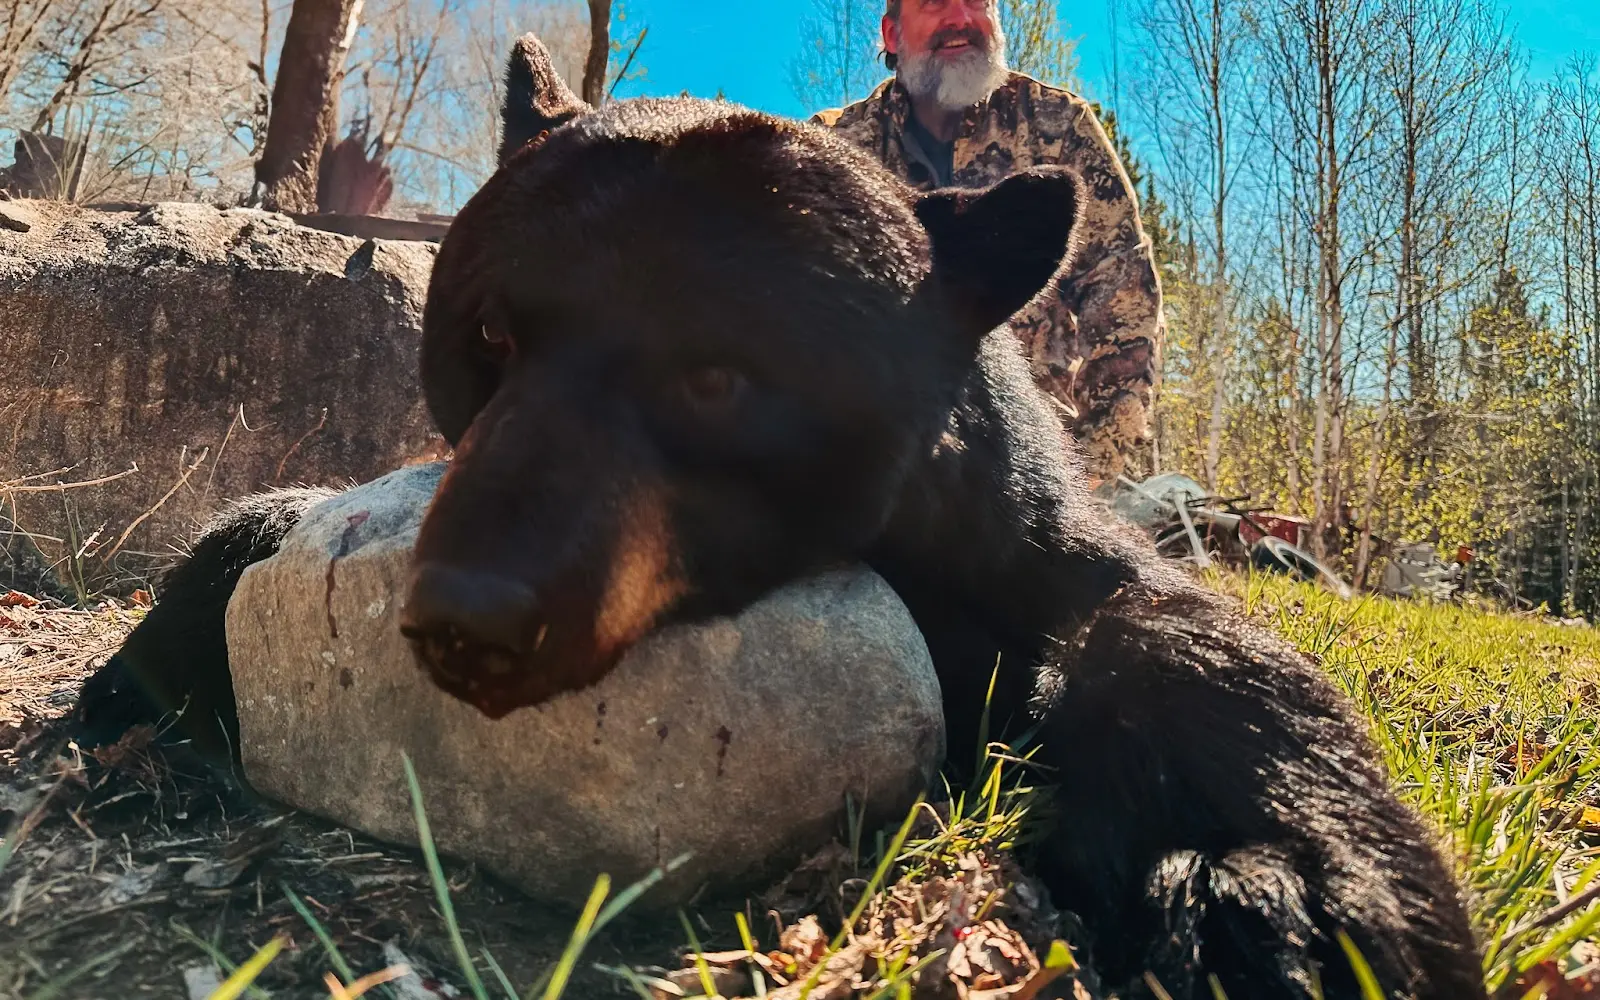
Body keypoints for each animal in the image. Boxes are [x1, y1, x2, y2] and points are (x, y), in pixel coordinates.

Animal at [74, 33, 1487, 1000]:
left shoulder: (1022, 548)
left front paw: (1274, 891)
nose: (470, 613)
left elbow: (1174, 630)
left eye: (719, 375)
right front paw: (154, 656)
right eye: (489, 334)